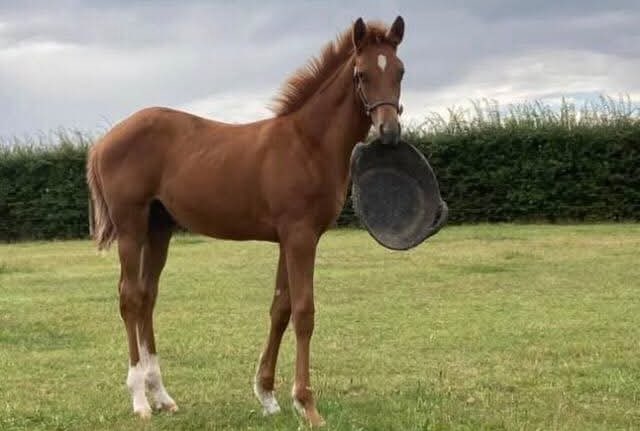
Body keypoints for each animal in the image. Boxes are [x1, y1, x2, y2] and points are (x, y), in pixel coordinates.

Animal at [87, 16, 407, 427]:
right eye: (361, 74)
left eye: (399, 71)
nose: (389, 132)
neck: (308, 144)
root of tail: (104, 140)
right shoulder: (301, 236)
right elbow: (304, 312)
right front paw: (307, 405)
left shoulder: (290, 238)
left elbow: (280, 309)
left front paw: (267, 395)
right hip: (131, 226)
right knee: (129, 297)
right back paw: (140, 399)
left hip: (158, 228)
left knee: (146, 297)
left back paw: (162, 395)